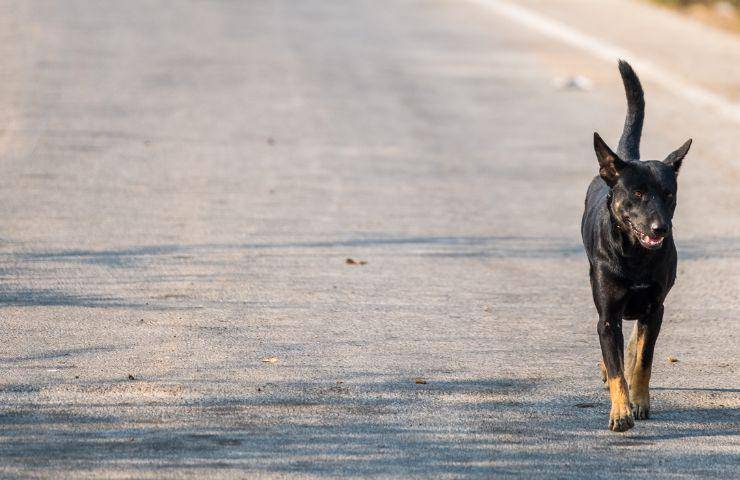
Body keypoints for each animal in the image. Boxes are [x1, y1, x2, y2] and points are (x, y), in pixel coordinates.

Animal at [584, 60, 692, 432]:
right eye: (639, 193)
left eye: (668, 194)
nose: (661, 228)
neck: (634, 256)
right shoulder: (607, 317)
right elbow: (616, 367)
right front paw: (620, 411)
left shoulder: (655, 308)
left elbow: (644, 359)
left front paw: (640, 401)